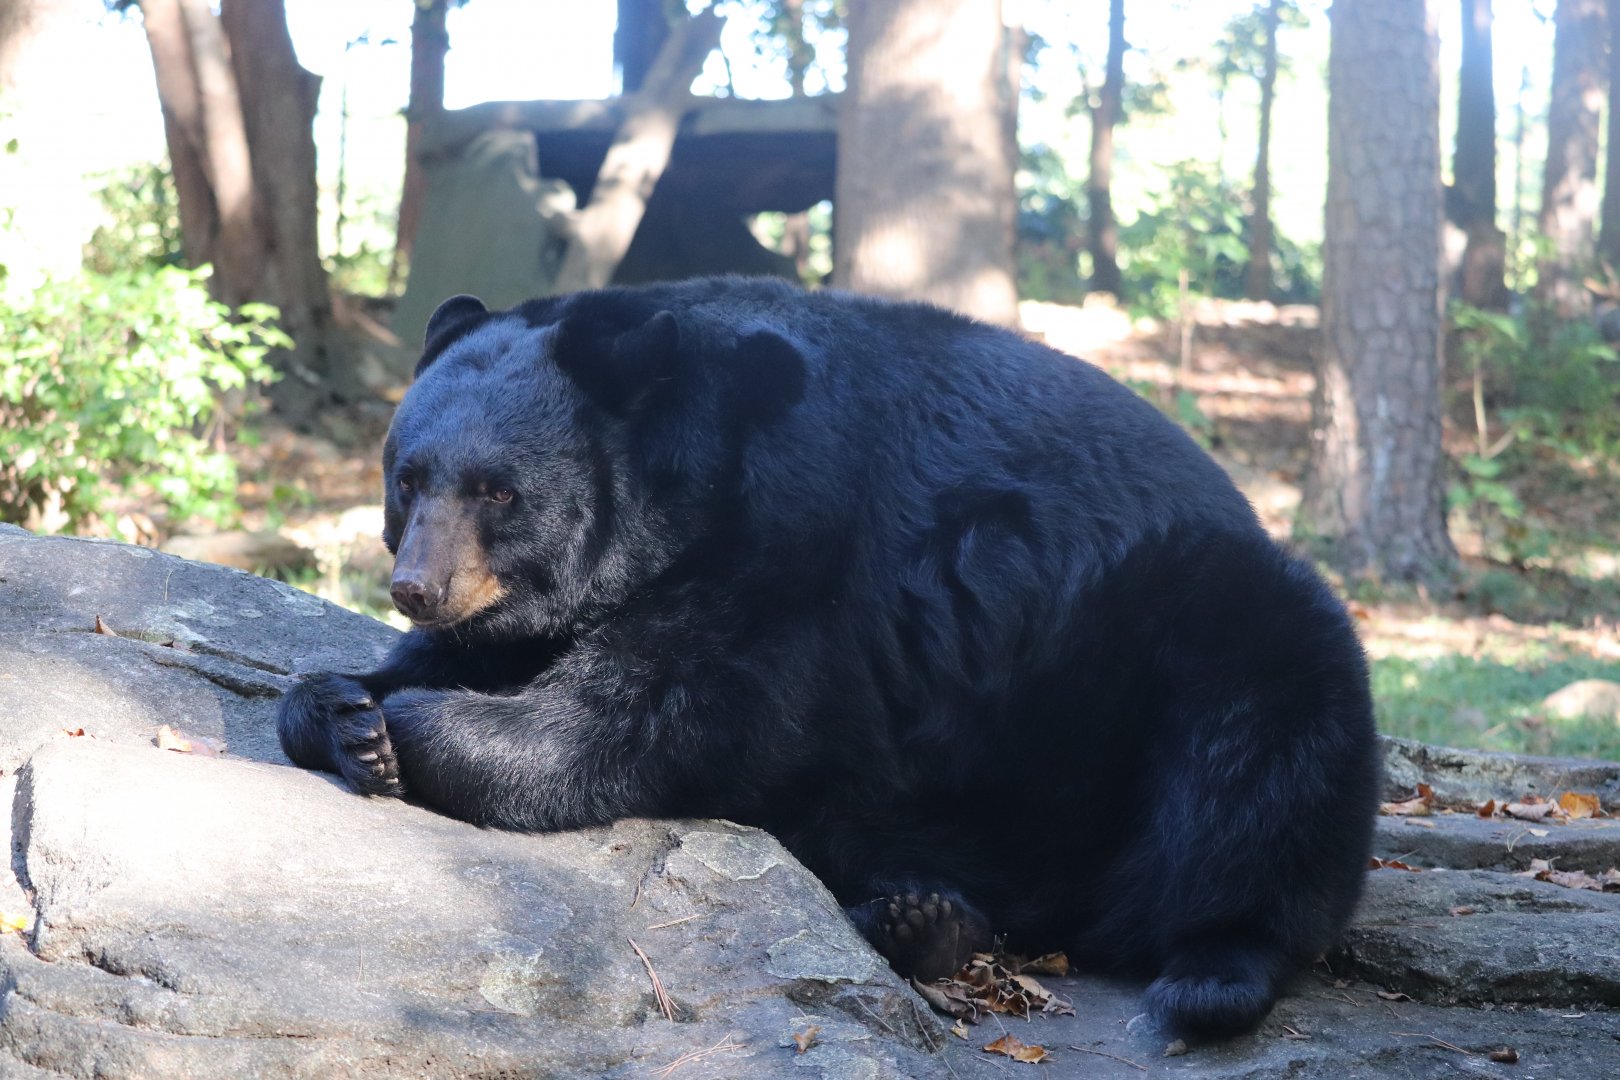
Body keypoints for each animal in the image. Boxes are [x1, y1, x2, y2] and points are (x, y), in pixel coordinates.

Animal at [277, 276, 1380, 1040]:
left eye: (499, 492)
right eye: (409, 478)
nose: (417, 586)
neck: (696, 465)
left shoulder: (792, 557)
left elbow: (656, 712)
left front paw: (409, 734)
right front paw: (344, 707)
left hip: (1211, 630)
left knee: (1265, 772)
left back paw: (1209, 972)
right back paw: (922, 918)